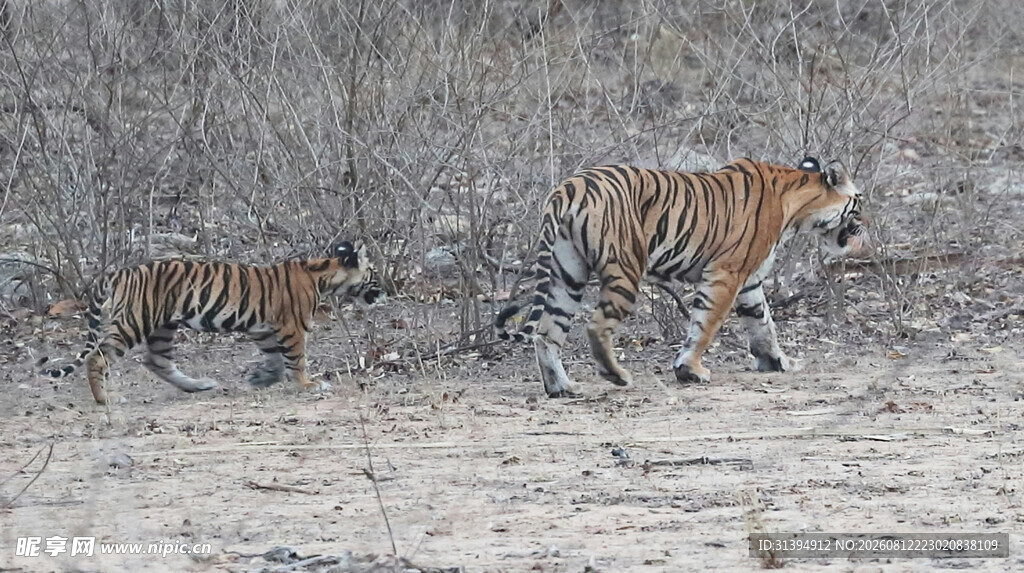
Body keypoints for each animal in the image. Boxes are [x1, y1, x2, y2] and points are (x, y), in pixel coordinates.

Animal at [37, 241, 386, 404]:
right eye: (373, 273)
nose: (385, 291)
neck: (323, 274)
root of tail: (117, 272)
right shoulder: (291, 327)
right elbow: (296, 359)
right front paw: (308, 384)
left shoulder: (263, 329)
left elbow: (275, 360)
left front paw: (261, 379)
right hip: (134, 322)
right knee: (97, 358)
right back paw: (105, 399)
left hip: (162, 326)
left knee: (156, 361)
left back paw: (198, 385)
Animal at [495, 157, 868, 397]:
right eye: (859, 206)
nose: (866, 226)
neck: (797, 205)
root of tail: (568, 189)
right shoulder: (726, 274)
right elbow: (705, 325)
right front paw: (690, 370)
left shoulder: (748, 281)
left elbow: (763, 322)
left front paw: (778, 361)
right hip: (624, 268)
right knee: (596, 326)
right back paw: (616, 376)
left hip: (566, 273)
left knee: (546, 334)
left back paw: (563, 387)